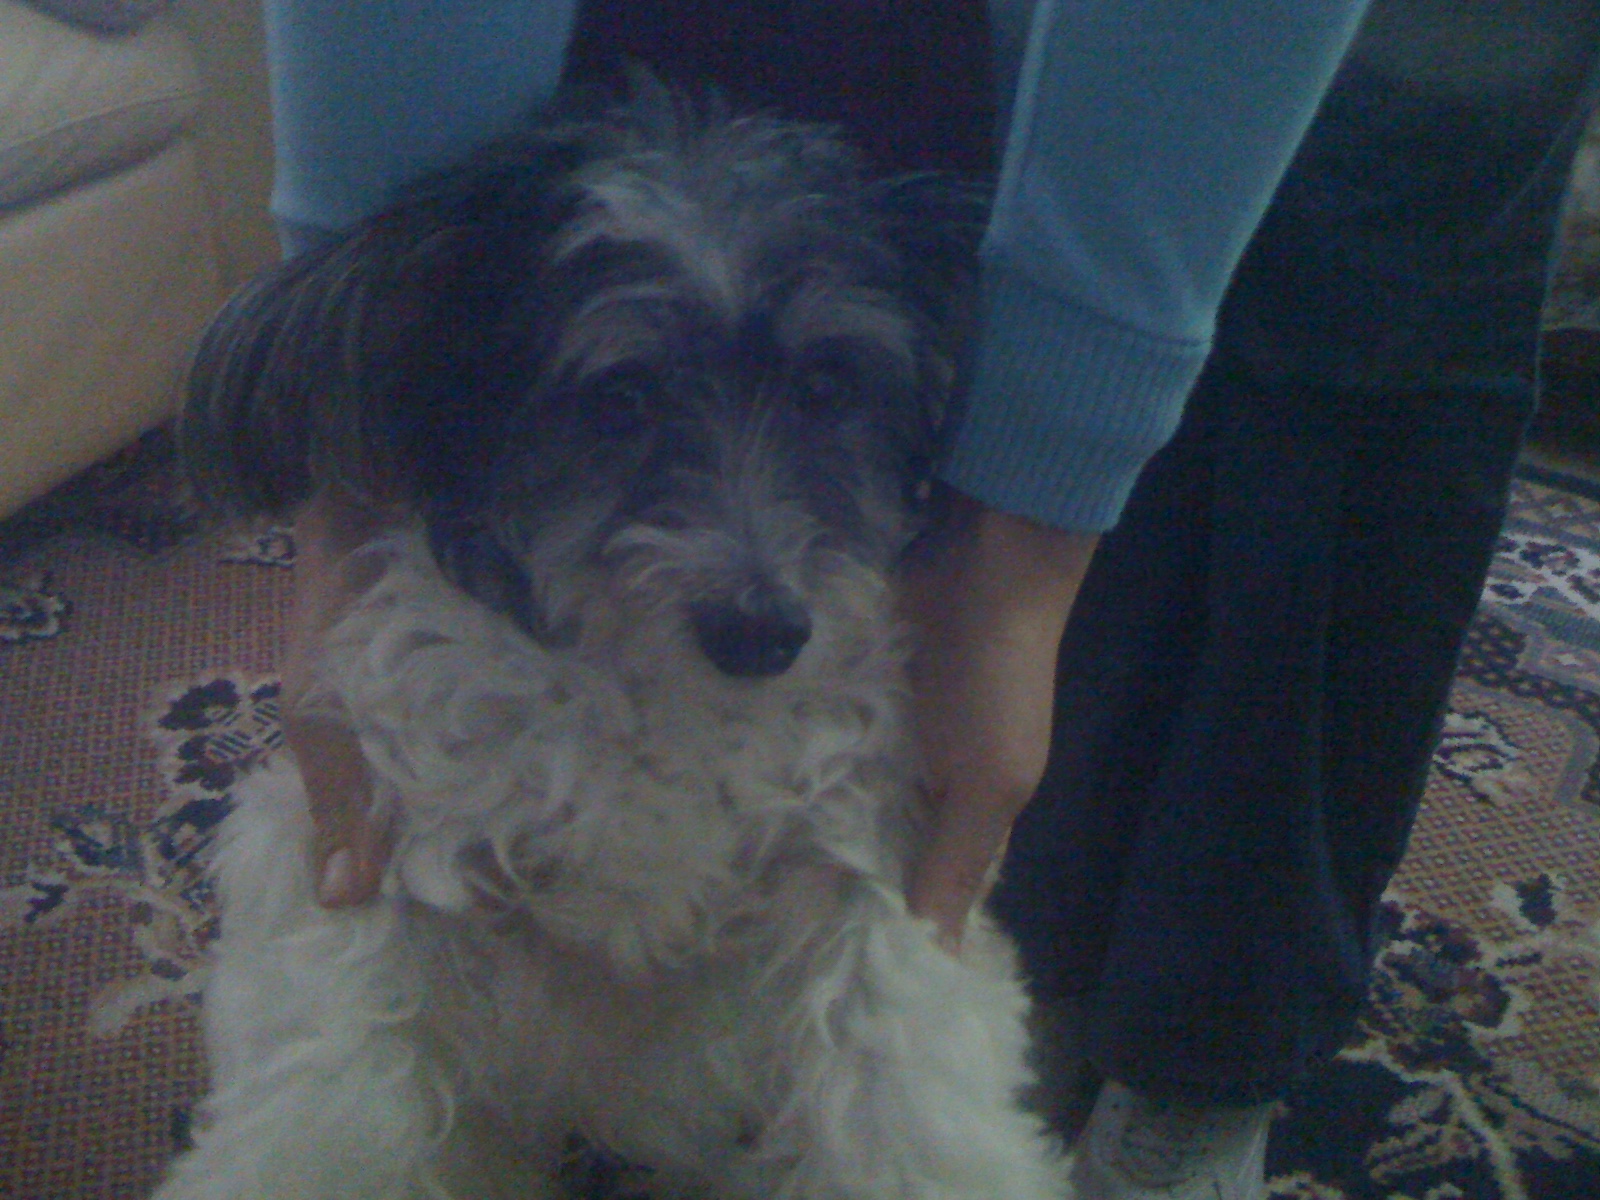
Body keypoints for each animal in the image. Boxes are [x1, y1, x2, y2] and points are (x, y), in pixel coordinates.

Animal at [158, 78, 1066, 1200]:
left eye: (825, 387)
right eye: (621, 397)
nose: (762, 633)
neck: (654, 708)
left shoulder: (875, 871)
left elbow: (898, 1102)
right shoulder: (373, 865)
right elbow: (326, 1104)